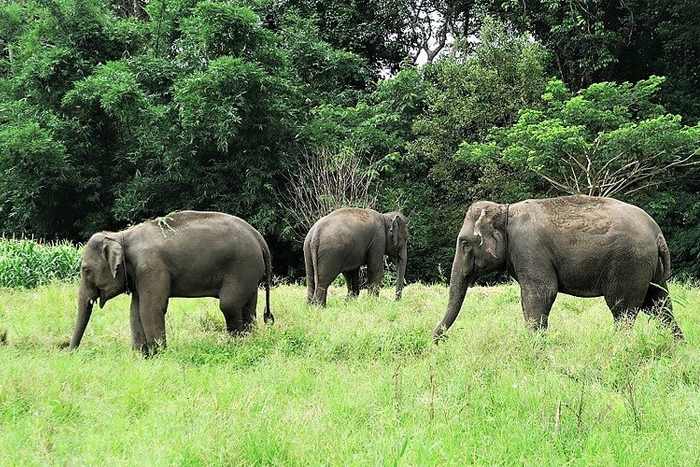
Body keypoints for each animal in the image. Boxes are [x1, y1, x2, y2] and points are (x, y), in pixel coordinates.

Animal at [69, 210, 274, 356]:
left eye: (86, 270)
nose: (70, 353)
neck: (121, 236)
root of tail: (258, 236)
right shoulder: (139, 274)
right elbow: (135, 310)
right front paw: (140, 356)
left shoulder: (151, 267)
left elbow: (150, 308)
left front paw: (158, 356)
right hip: (250, 272)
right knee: (248, 306)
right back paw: (251, 342)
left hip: (242, 266)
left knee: (229, 304)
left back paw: (236, 346)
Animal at [432, 196, 684, 342]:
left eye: (464, 243)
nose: (440, 342)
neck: (505, 211)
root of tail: (657, 235)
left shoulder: (528, 247)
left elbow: (542, 292)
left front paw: (534, 350)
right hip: (650, 269)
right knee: (660, 306)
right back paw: (677, 347)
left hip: (629, 265)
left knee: (623, 311)